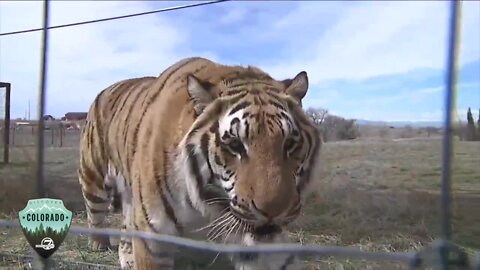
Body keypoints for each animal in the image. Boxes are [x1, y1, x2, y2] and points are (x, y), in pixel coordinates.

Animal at [78, 56, 322, 268]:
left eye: (290, 143)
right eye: (235, 145)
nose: (273, 211)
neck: (207, 200)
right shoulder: (153, 234)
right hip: (93, 178)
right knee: (95, 212)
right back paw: (98, 244)